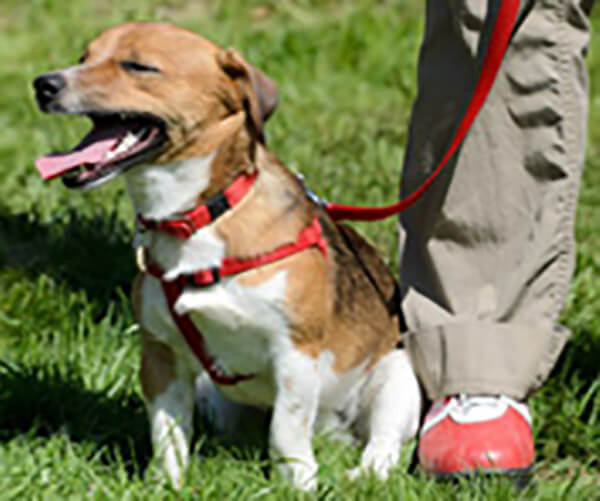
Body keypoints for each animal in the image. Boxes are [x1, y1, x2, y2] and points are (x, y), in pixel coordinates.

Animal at [33, 22, 421, 491]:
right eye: (84, 57)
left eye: (139, 66)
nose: (43, 84)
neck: (197, 217)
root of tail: (332, 433)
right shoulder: (161, 355)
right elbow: (167, 431)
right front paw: (166, 484)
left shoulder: (295, 352)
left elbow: (285, 430)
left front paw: (299, 484)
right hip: (211, 395)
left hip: (397, 378)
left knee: (385, 442)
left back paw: (364, 471)